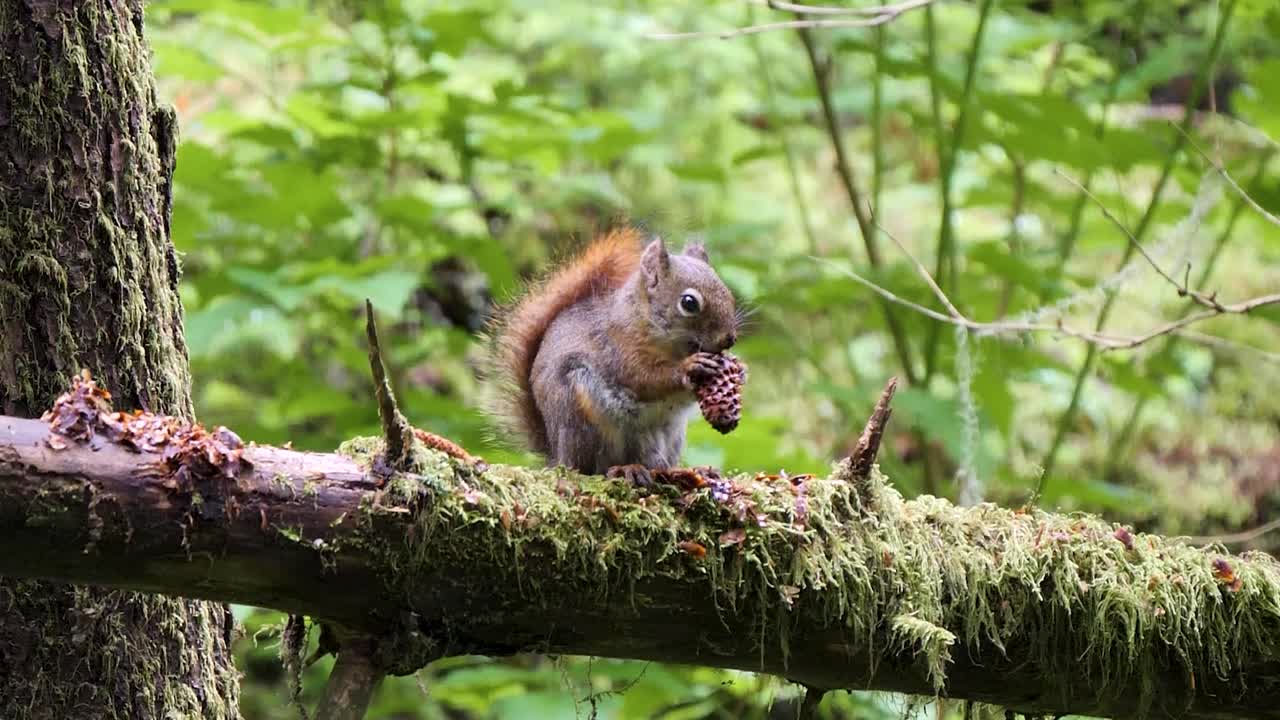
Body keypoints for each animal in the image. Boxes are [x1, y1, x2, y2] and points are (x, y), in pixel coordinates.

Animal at [485, 227, 740, 478]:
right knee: (595, 468)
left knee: (659, 463)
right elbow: (645, 380)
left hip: (671, 435)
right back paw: (626, 469)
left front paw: (738, 370)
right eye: (689, 302)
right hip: (584, 416)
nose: (729, 338)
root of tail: (558, 455)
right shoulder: (620, 349)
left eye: (729, 294)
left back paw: (686, 471)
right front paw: (689, 367)